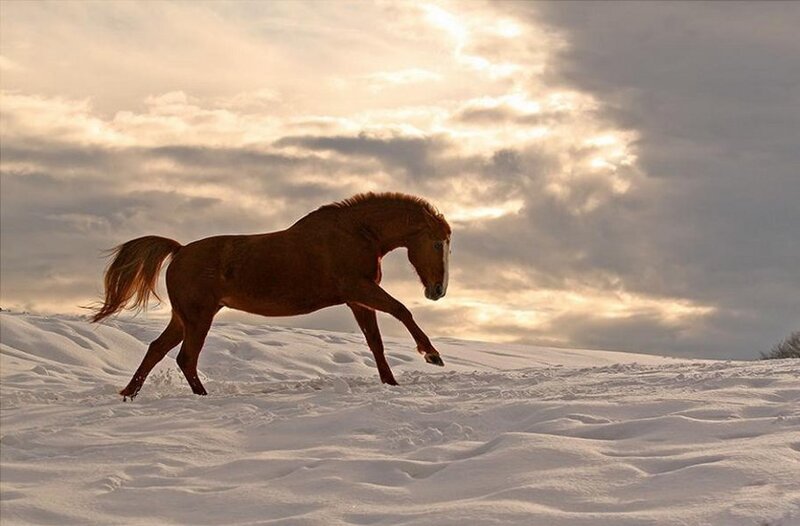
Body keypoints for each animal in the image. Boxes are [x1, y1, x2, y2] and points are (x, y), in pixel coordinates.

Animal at [91, 192, 452, 399]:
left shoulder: (357, 300)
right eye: (437, 243)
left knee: (157, 350)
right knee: (185, 358)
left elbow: (375, 342)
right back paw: (202, 396)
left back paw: (129, 394)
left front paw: (391, 382)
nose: (438, 290)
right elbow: (402, 310)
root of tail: (178, 251)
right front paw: (431, 354)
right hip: (197, 317)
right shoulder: (359, 289)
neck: (357, 233)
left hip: (184, 318)